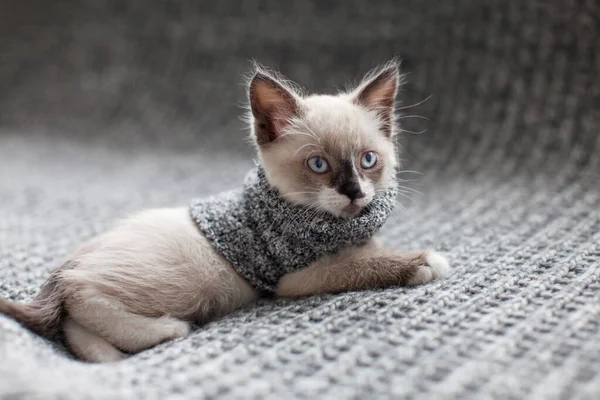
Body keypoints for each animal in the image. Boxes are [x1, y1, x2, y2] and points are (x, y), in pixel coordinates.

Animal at [0, 59, 450, 362]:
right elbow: (359, 265)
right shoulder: (294, 278)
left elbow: (368, 251)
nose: (355, 193)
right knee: (82, 296)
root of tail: (64, 266)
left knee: (74, 325)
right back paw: (168, 329)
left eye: (368, 160)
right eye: (319, 165)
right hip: (182, 282)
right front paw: (423, 261)